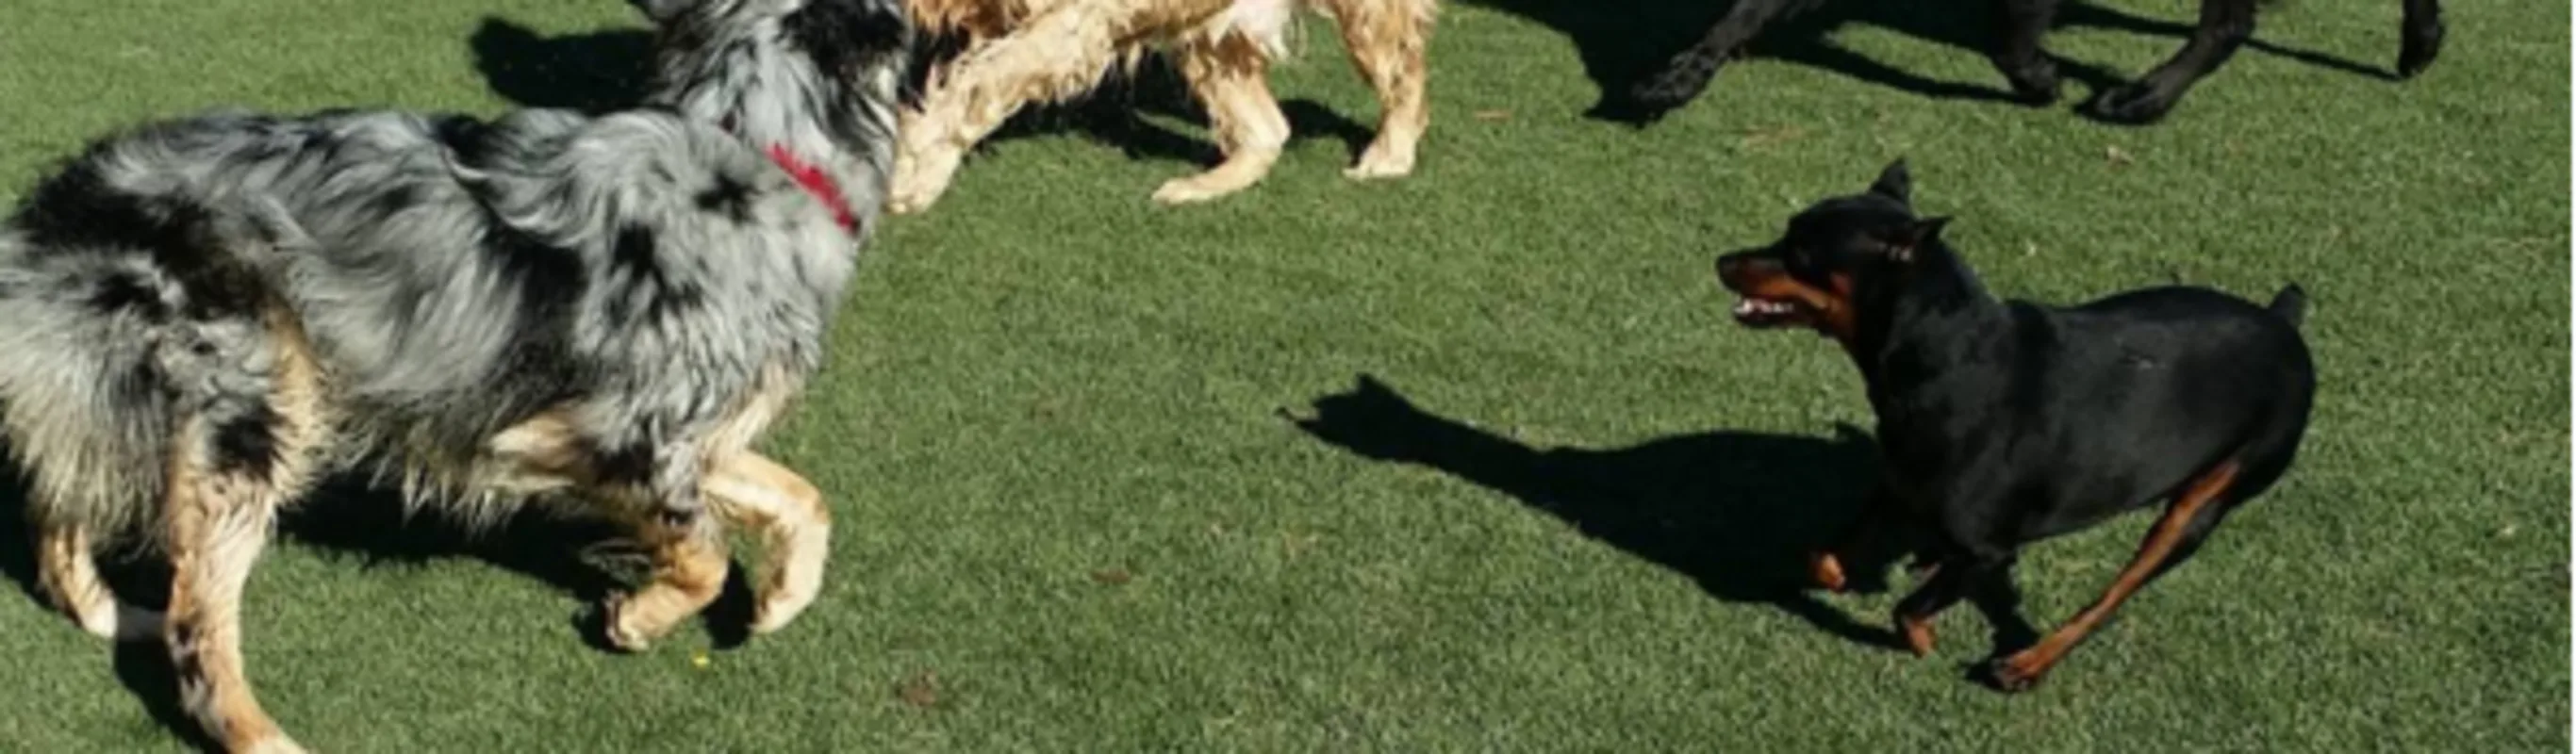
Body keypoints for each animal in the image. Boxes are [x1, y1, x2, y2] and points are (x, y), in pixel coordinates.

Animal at [0, 0, 916, 746]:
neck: (753, 147)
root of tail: (55, 203)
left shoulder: (685, 437)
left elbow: (803, 500)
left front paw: (778, 601)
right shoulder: (608, 437)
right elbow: (705, 554)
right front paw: (638, 617)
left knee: (59, 511)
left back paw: (114, 612)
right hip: (256, 404)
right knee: (193, 619)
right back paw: (257, 730)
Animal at [896, 0, 1442, 209]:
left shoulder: (1073, 21)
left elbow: (977, 86)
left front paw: (914, 172)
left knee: (1402, 71)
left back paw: (1387, 156)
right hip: (1211, 39)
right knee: (1267, 130)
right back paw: (1198, 186)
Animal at [1720, 161, 2328, 689]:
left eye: (1799, 251)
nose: (1722, 260)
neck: (1947, 357)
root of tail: (2283, 323)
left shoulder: (1990, 550)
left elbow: (1907, 609)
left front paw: (1922, 638)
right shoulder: (1897, 485)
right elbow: (1823, 559)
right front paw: (1862, 575)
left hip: (2201, 507)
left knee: (2111, 598)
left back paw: (2026, 665)